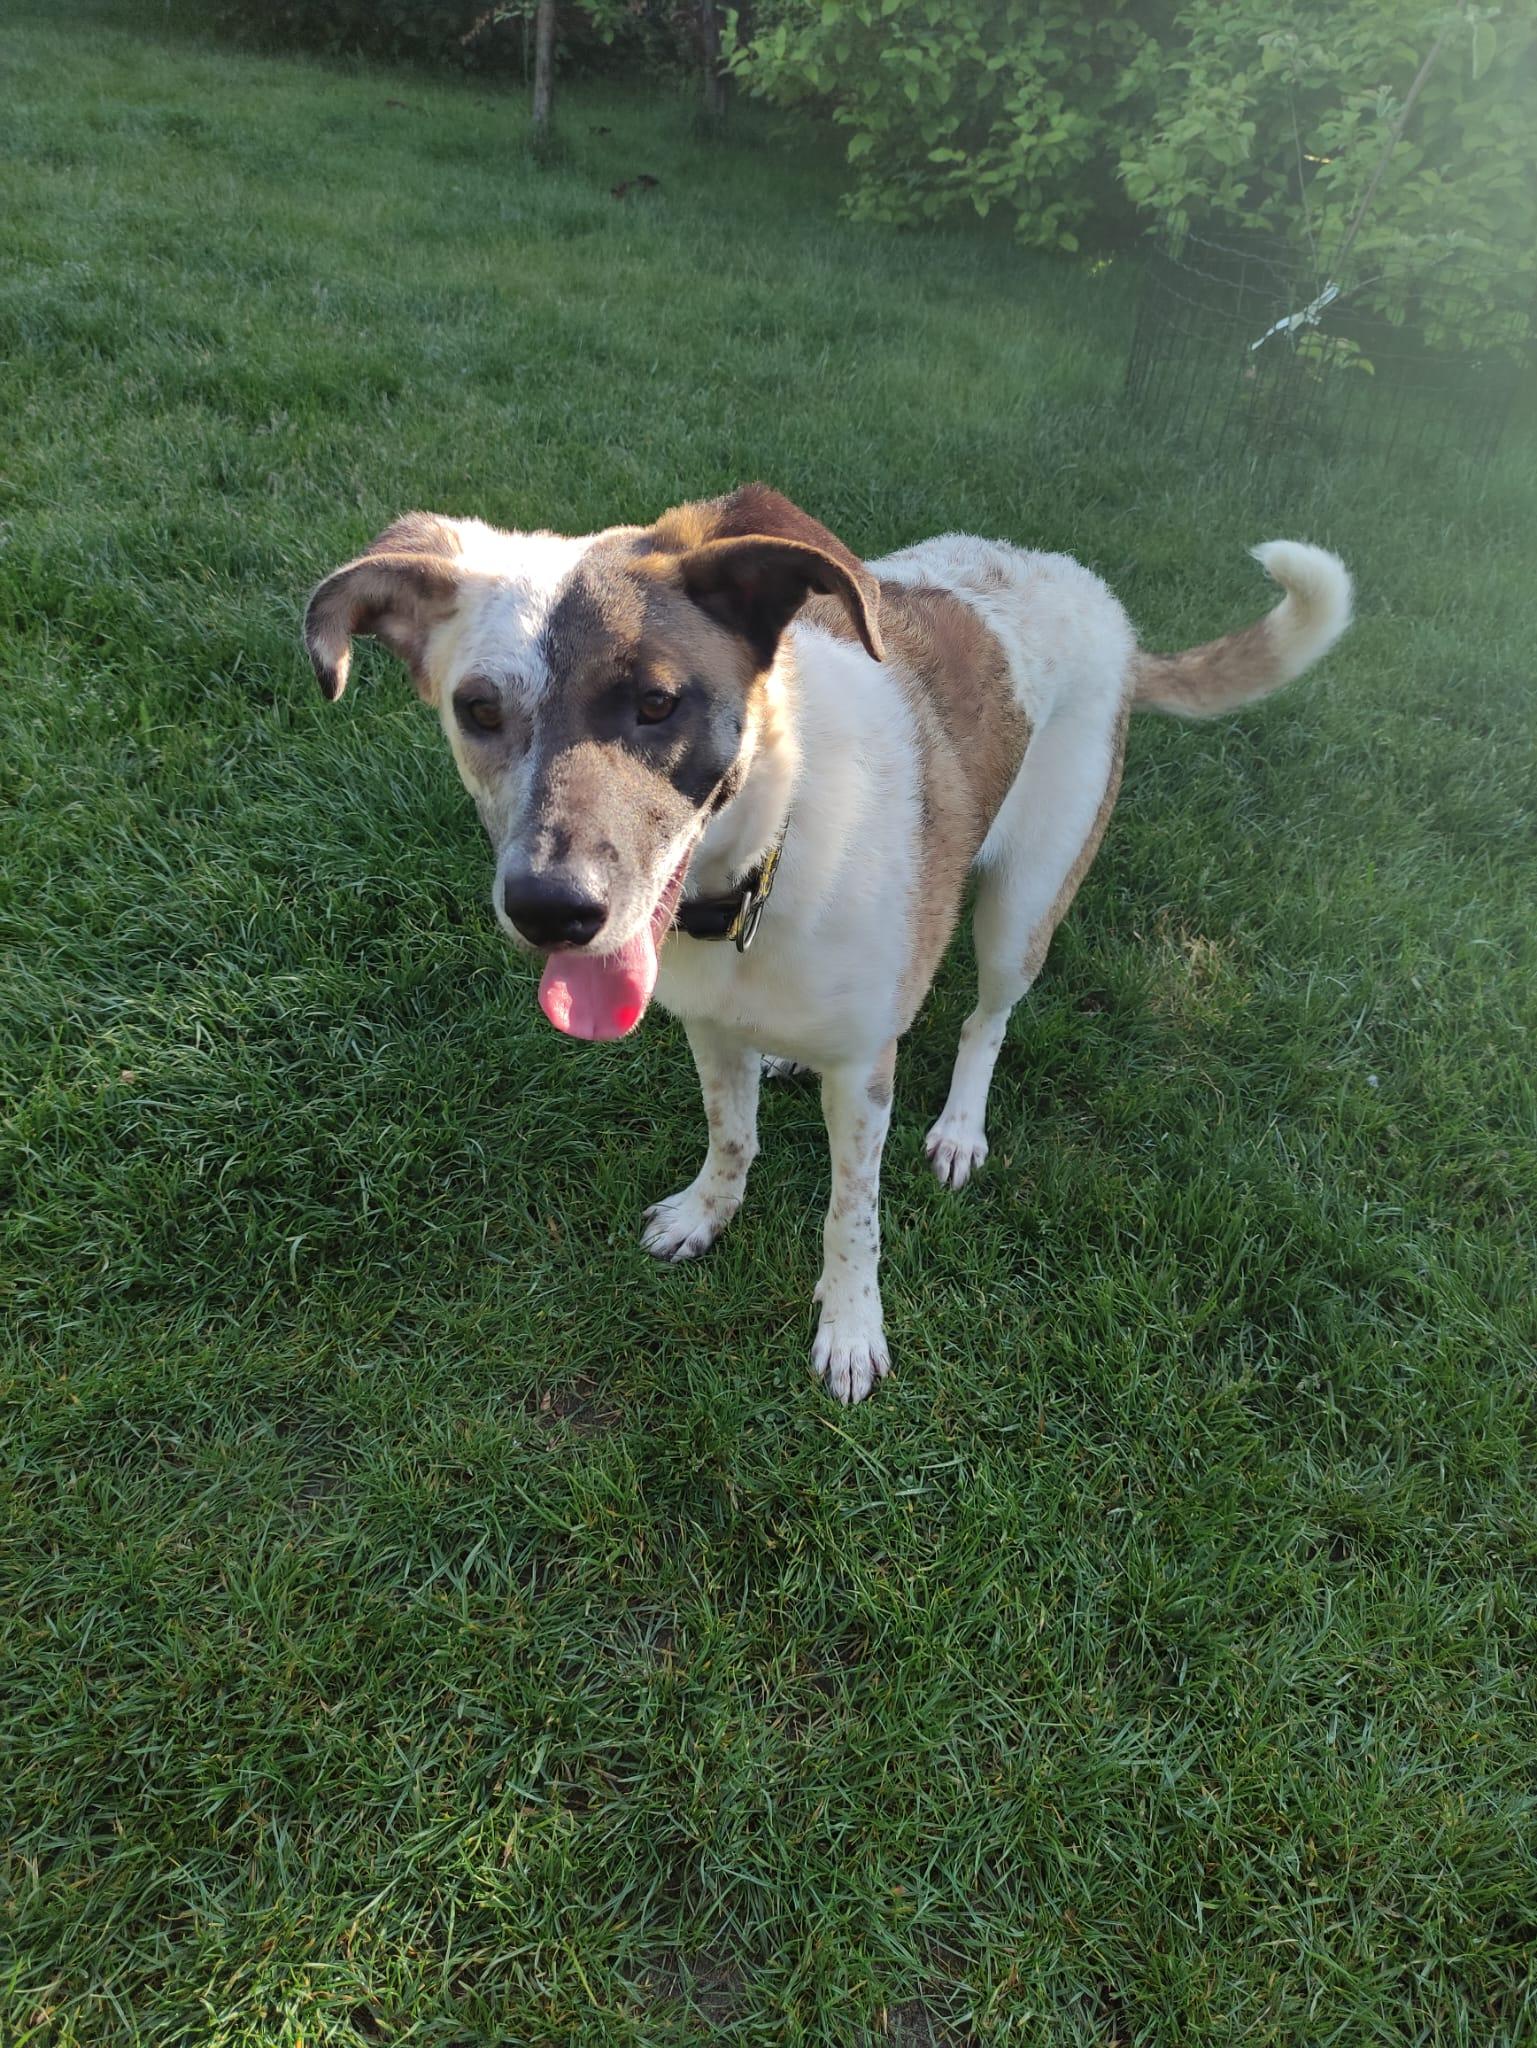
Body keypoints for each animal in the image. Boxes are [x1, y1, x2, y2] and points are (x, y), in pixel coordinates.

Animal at [305, 487, 1351, 1402]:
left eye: (657, 703)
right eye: (478, 710)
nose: (551, 910)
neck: (765, 858)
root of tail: (1096, 597)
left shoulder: (863, 1074)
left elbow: (853, 1214)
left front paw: (850, 1328)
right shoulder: (709, 1027)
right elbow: (731, 1136)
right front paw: (707, 1213)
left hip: (1026, 902)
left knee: (986, 1020)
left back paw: (960, 1127)